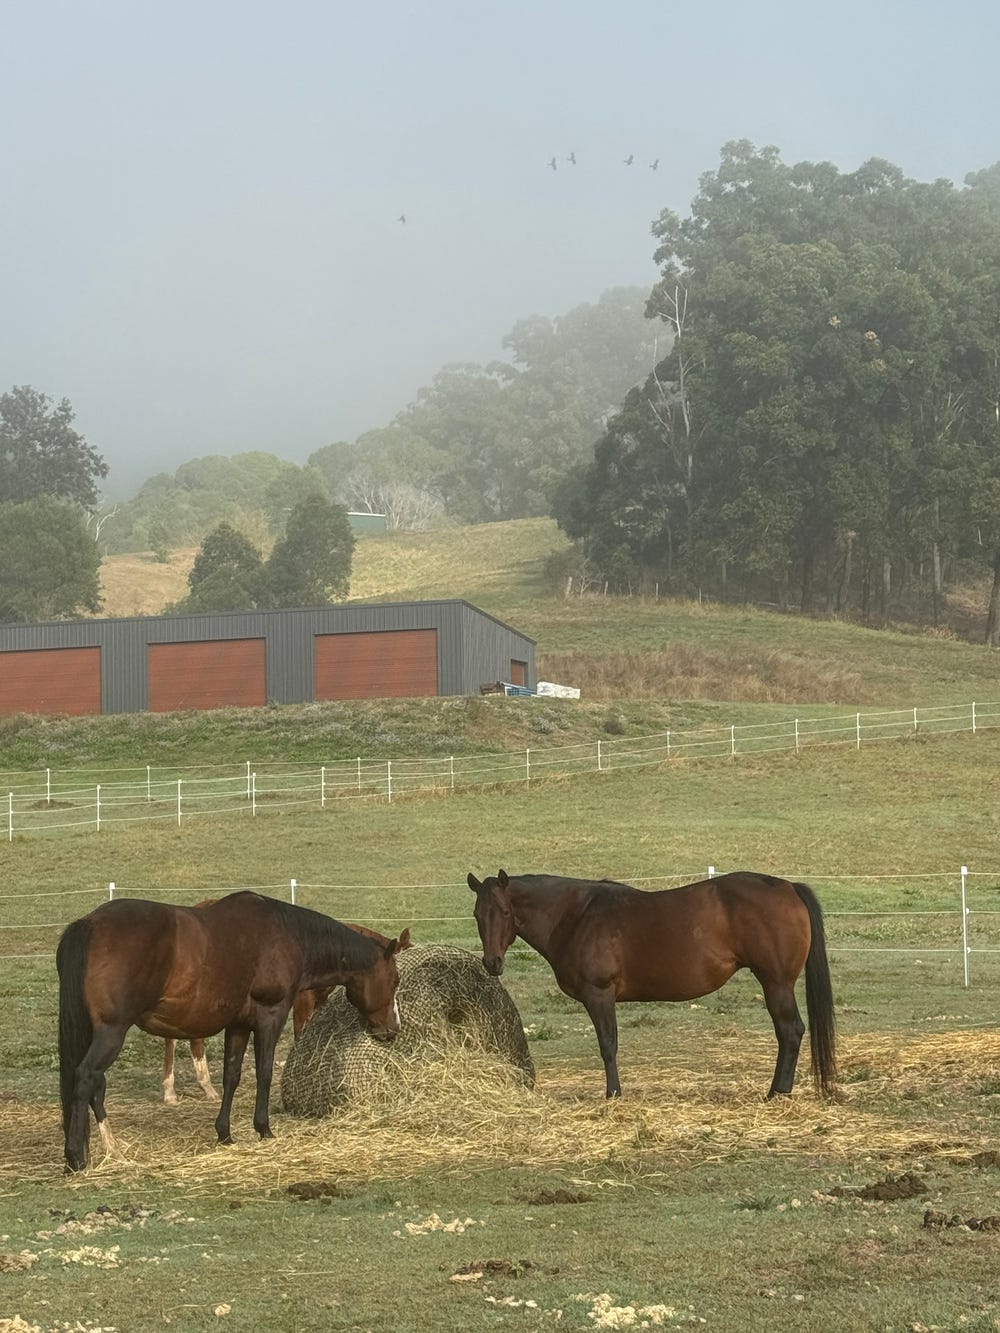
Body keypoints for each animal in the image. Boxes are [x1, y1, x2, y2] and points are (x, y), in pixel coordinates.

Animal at [466, 869, 836, 1101]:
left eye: (504, 911)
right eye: (477, 914)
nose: (492, 963)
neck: (575, 916)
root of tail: (788, 887)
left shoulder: (599, 995)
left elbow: (608, 1046)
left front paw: (613, 1094)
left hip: (776, 984)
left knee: (790, 1031)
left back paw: (776, 1092)